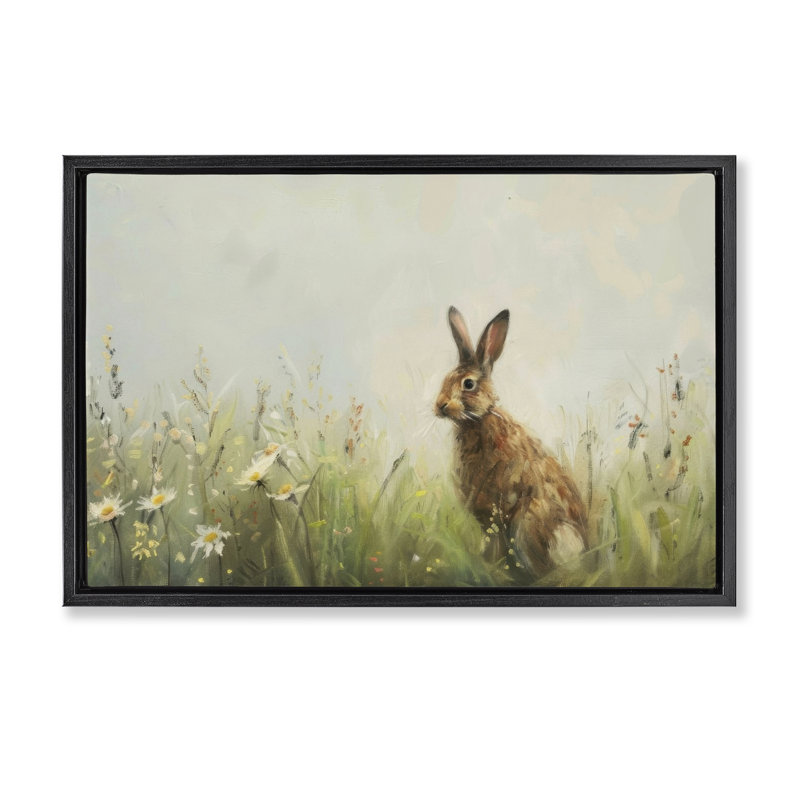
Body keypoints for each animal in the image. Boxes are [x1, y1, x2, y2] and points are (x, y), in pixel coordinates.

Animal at [435, 306, 588, 578]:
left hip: (529, 526)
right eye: (445, 379)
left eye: (468, 384)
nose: (439, 405)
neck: (477, 420)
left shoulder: (495, 510)